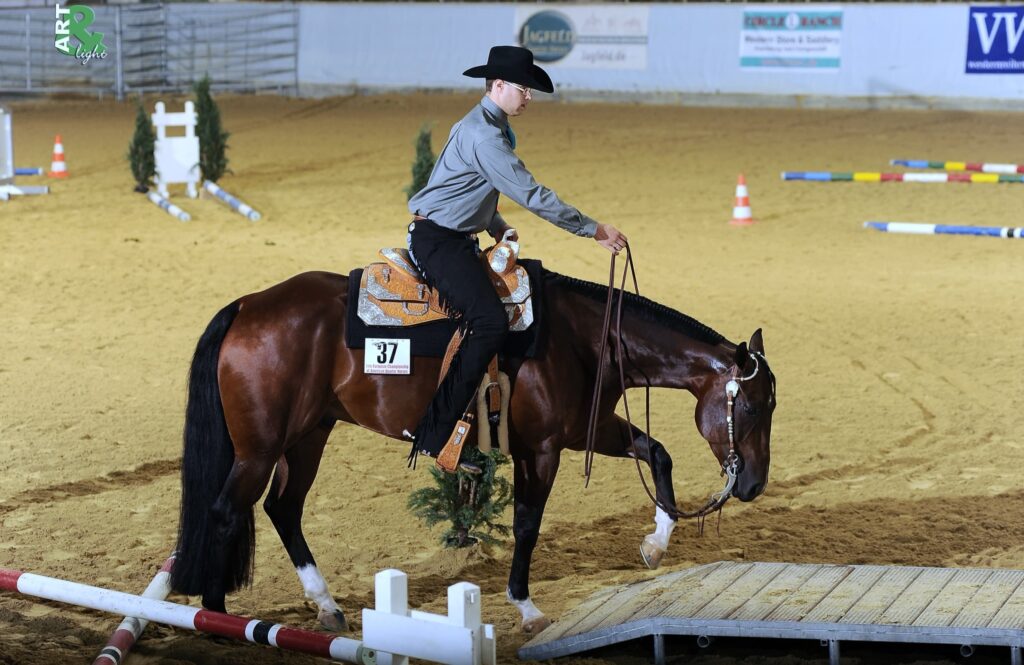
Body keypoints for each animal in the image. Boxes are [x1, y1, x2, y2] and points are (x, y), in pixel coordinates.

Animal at [169, 266, 776, 634]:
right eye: (752, 406)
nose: (752, 485)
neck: (585, 338)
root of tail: (248, 305)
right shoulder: (543, 449)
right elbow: (528, 523)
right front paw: (526, 606)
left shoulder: (589, 430)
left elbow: (658, 454)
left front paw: (655, 545)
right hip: (260, 447)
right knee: (226, 510)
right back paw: (216, 618)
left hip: (308, 435)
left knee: (283, 508)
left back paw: (325, 605)